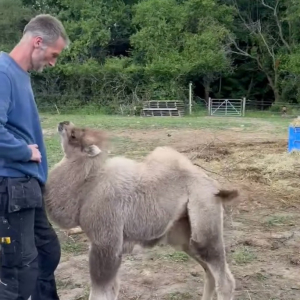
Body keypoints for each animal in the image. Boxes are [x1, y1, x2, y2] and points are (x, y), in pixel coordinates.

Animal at [43, 121, 238, 300]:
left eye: (74, 135)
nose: (63, 123)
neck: (88, 188)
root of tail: (215, 189)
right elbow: (112, 289)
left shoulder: (105, 243)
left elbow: (100, 292)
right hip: (184, 234)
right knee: (209, 272)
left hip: (204, 220)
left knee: (223, 278)